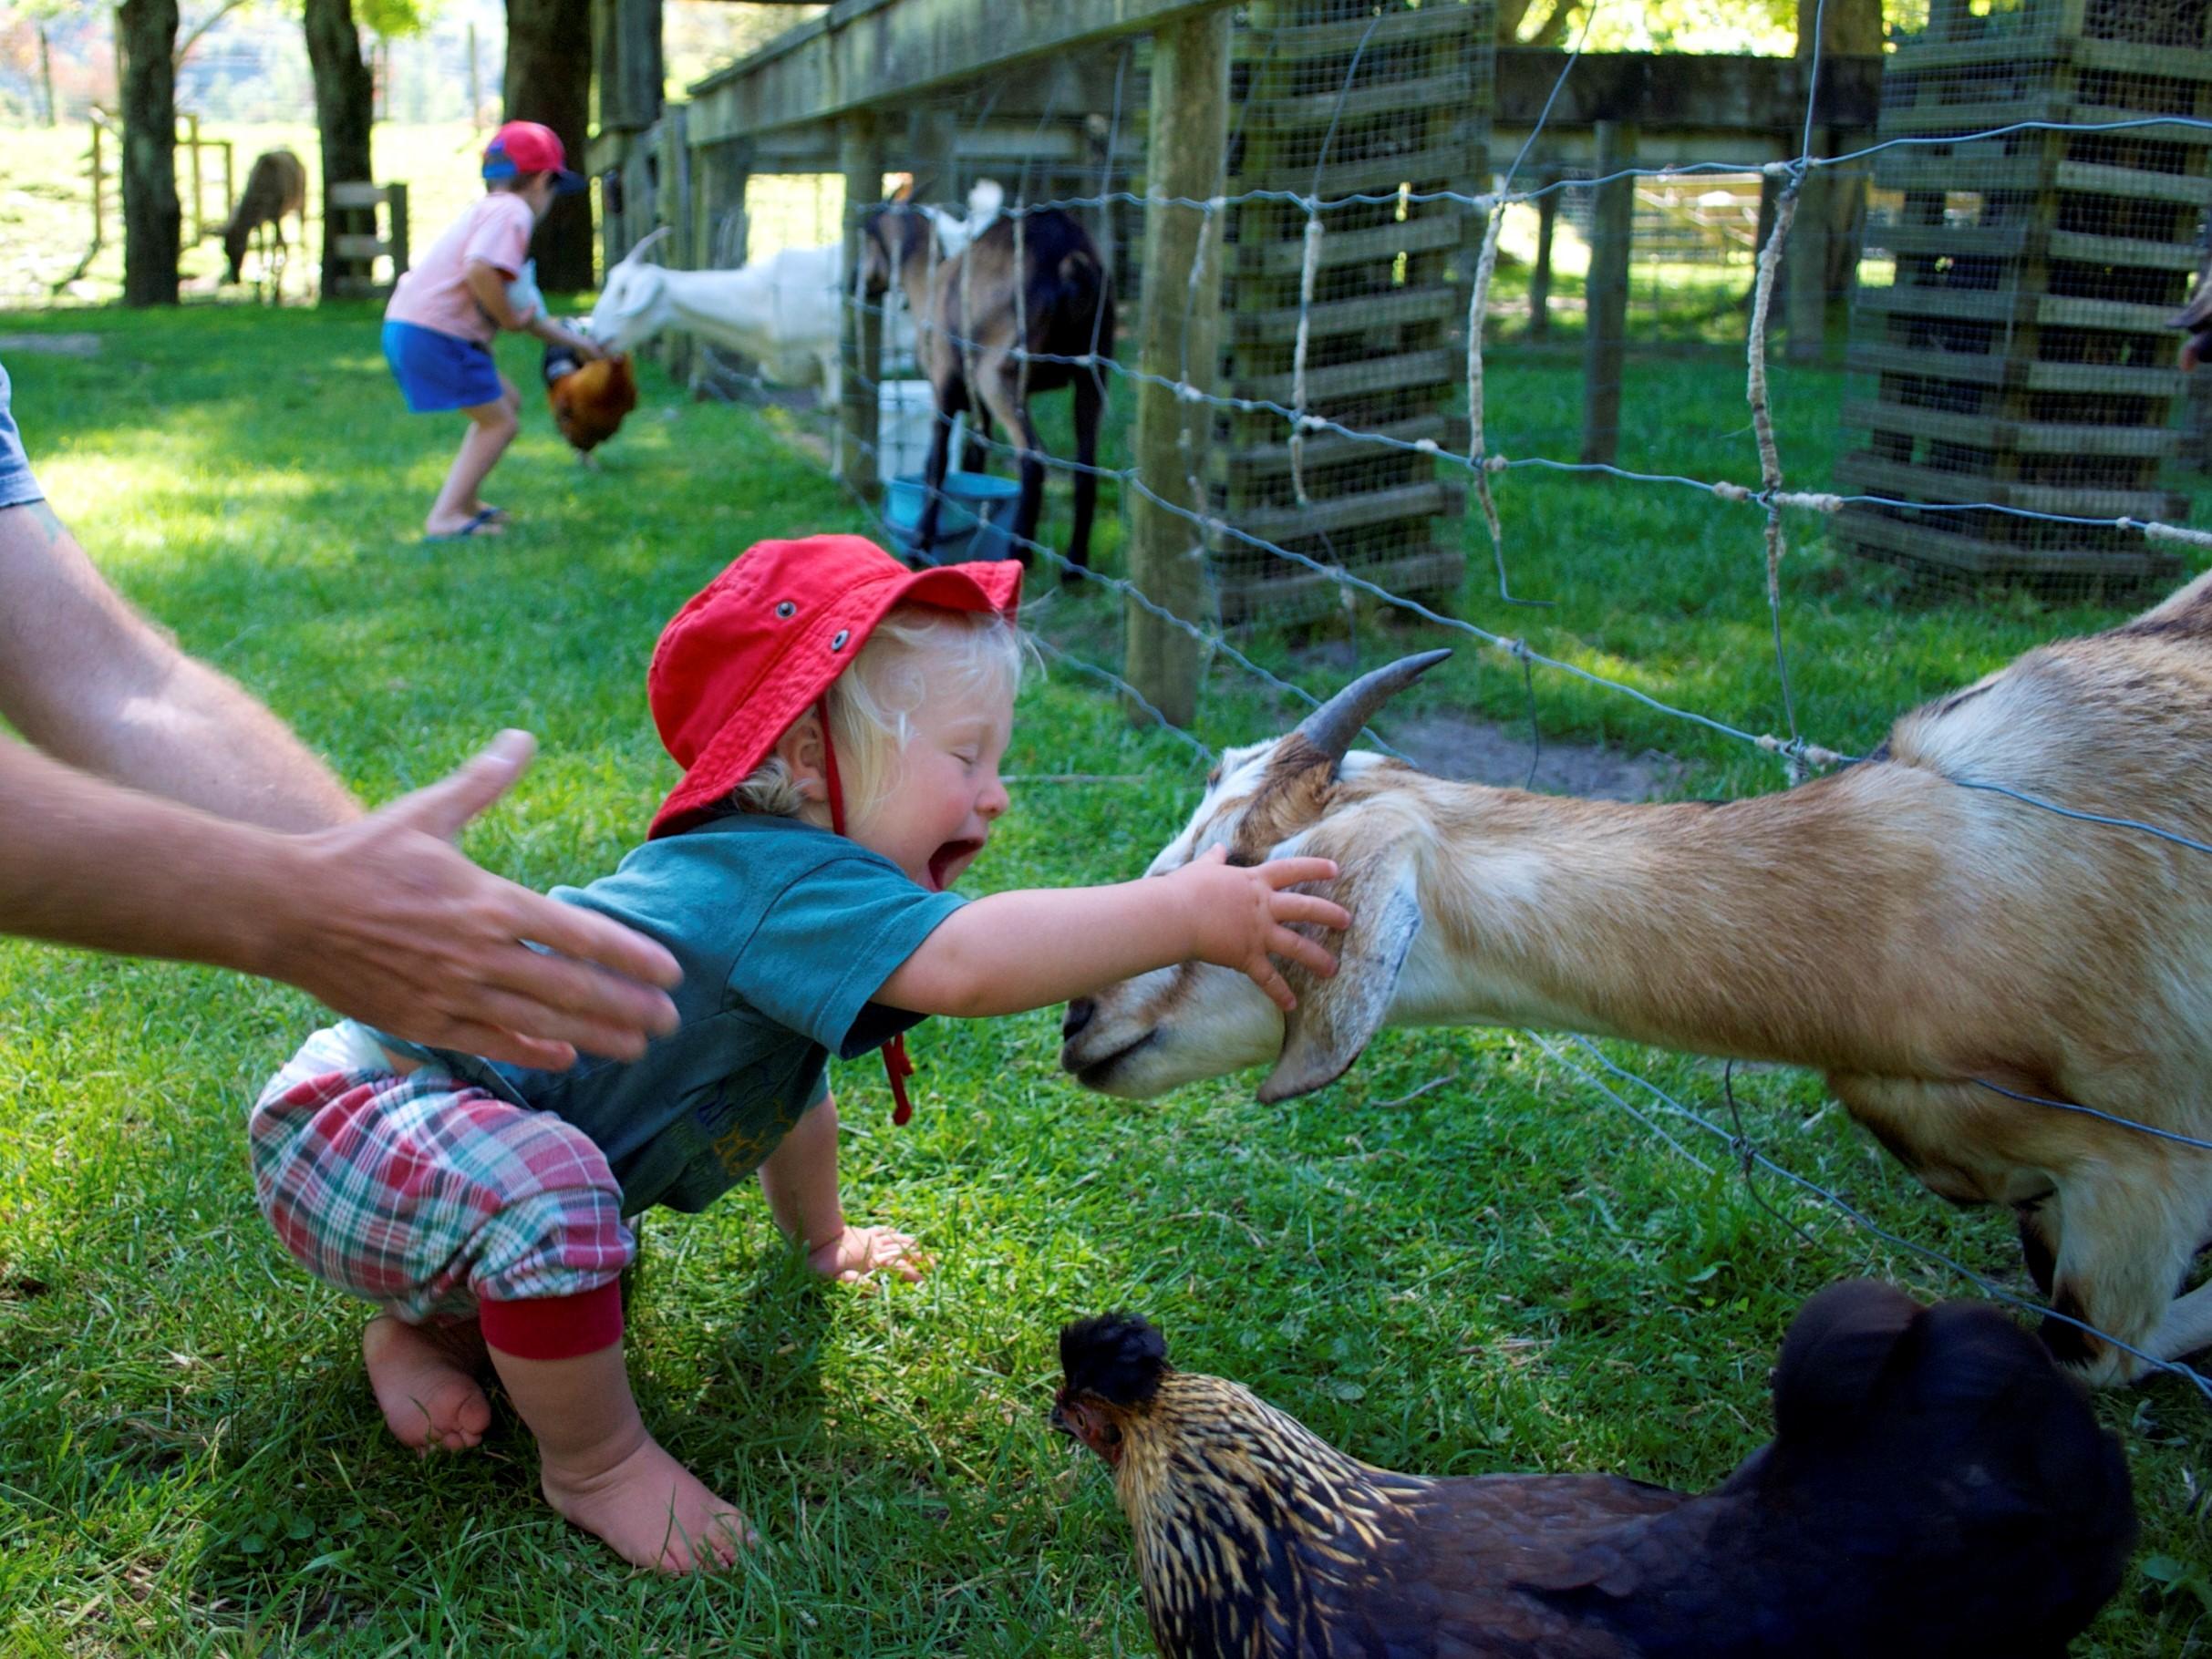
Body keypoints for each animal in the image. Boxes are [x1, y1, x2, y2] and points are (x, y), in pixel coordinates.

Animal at [220, 149, 307, 298]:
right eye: (225, 250)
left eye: (240, 247)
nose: (236, 279)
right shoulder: (260, 221)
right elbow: (261, 247)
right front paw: (260, 285)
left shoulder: (276, 214)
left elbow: (277, 244)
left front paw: (276, 291)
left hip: (300, 202)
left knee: (299, 237)